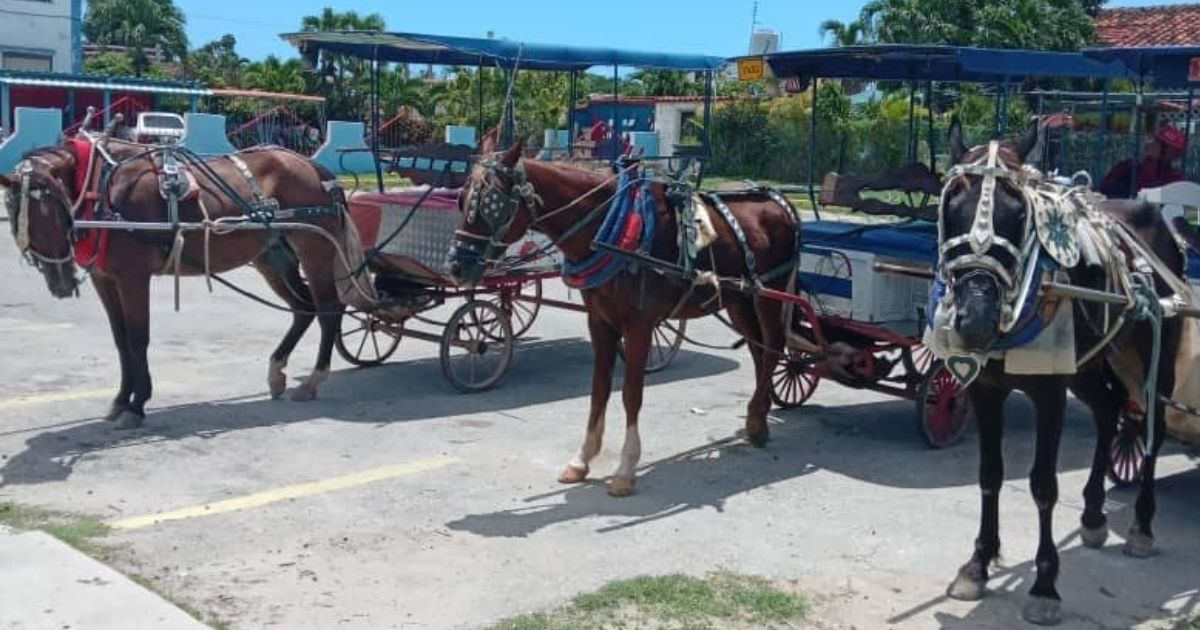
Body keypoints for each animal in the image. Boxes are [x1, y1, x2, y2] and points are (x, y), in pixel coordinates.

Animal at [1, 138, 369, 427]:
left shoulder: (133, 277)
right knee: (303, 308)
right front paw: (120, 400)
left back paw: (314, 379)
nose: (61, 283)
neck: (103, 188)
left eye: (55, 208)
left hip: (315, 250)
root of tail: (313, 166)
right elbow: (120, 341)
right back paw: (277, 371)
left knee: (329, 309)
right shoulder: (104, 280)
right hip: (273, 258)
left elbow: (137, 340)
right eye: (17, 213)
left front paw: (137, 405)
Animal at [446, 139, 801, 494]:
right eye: (462, 200)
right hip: (738, 299)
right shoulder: (599, 321)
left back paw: (757, 419)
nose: (456, 266)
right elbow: (599, 389)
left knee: (772, 349)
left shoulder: (639, 326)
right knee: (758, 352)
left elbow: (631, 394)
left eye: (490, 204)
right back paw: (757, 418)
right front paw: (582, 459)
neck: (609, 228)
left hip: (769, 293)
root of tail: (780, 201)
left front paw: (626, 468)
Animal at [936, 120, 1180, 619]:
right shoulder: (985, 390)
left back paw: (1142, 526)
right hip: (1090, 364)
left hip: (1155, 352)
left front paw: (1044, 585)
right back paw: (1092, 516)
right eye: (951, 209)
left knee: (1153, 428)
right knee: (1108, 410)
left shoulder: (1050, 392)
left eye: (1018, 214)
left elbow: (1043, 485)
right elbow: (989, 474)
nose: (976, 320)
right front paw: (978, 564)